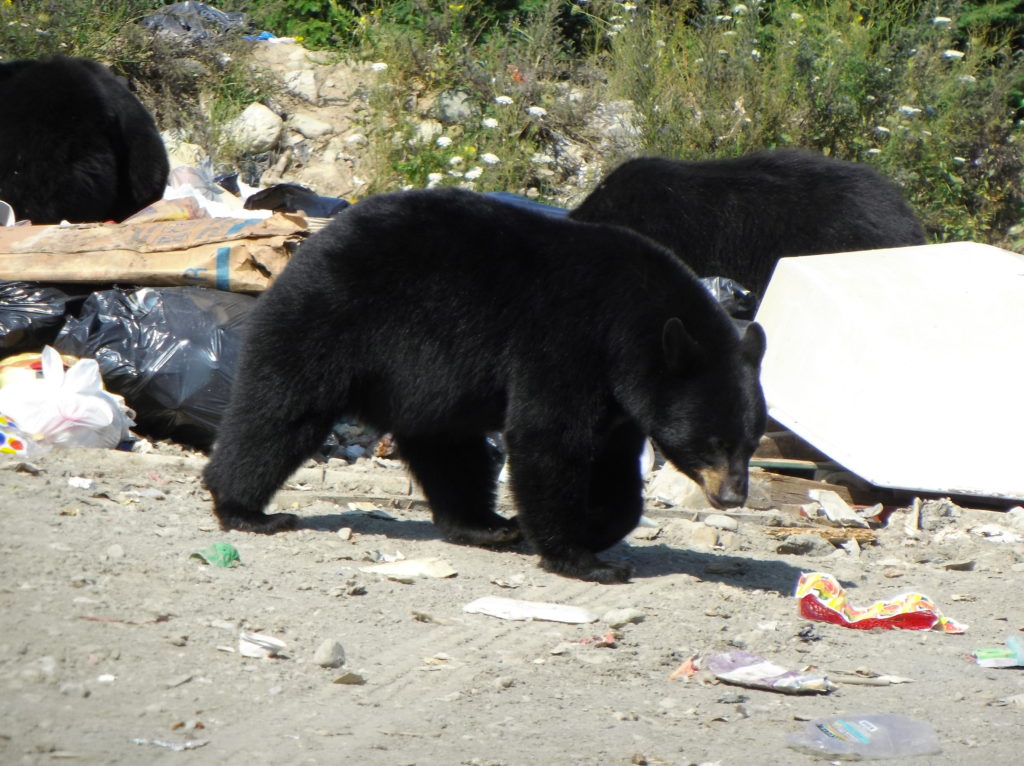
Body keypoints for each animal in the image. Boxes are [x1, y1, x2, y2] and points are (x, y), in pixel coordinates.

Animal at [203, 187, 765, 581]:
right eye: (713, 442)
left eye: (751, 441)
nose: (734, 496)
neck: (631, 326)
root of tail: (312, 242)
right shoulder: (568, 345)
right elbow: (548, 439)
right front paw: (584, 559)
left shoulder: (621, 399)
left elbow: (611, 464)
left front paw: (596, 526)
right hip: (332, 322)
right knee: (279, 411)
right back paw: (245, 509)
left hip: (423, 382)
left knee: (449, 450)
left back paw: (484, 524)